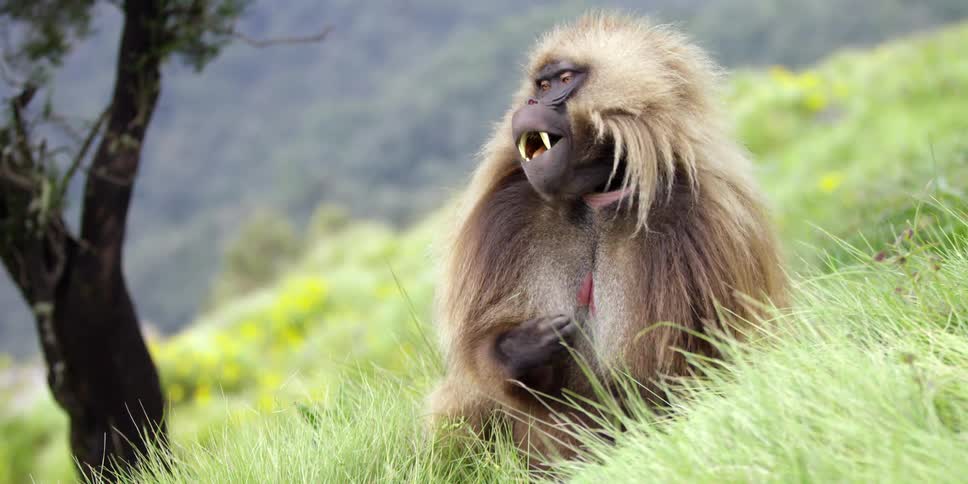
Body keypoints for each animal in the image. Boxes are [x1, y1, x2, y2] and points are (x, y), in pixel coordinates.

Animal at [427, 13, 787, 463]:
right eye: (541, 85)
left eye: (564, 80)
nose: (530, 105)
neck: (598, 198)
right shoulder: (506, 215)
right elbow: (483, 348)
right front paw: (524, 349)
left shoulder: (704, 216)